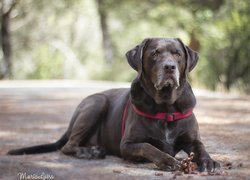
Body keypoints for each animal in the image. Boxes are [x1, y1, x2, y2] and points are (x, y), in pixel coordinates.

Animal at [6, 37, 220, 172]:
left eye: (177, 54)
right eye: (155, 54)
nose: (169, 67)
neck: (166, 106)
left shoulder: (192, 139)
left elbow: (201, 147)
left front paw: (209, 161)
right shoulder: (127, 144)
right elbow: (148, 147)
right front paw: (167, 160)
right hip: (96, 102)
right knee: (68, 146)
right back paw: (91, 152)